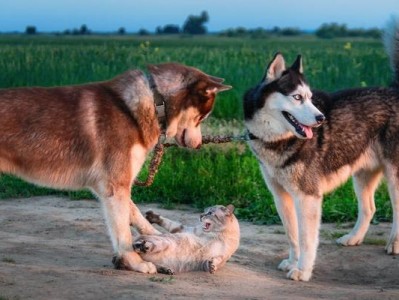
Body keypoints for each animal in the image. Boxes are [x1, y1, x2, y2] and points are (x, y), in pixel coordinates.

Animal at [0, 63, 231, 274]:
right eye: (202, 117)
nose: (199, 145)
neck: (154, 103)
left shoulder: (111, 185)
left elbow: (136, 215)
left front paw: (157, 237)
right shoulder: (115, 186)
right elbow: (123, 234)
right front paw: (135, 262)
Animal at [244, 18, 399, 282]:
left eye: (309, 97)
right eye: (297, 97)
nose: (321, 118)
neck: (279, 140)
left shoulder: (308, 197)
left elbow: (307, 239)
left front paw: (303, 270)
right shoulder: (281, 196)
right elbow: (293, 236)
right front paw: (292, 262)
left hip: (394, 176)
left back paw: (395, 244)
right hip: (362, 175)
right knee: (369, 208)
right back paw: (353, 238)